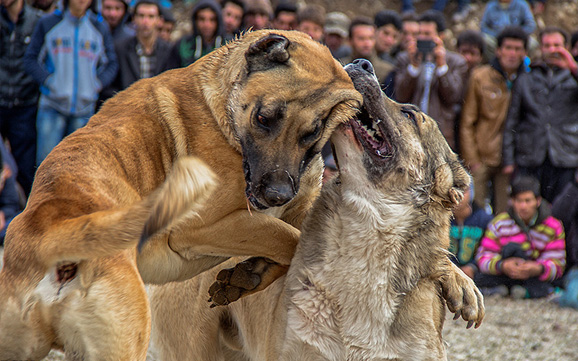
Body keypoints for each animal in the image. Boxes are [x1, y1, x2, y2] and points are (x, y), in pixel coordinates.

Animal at [0, 31, 360, 360]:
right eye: (263, 118)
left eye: (311, 134)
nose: (277, 194)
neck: (221, 109)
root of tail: (52, 232)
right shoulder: (204, 227)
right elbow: (292, 239)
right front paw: (251, 272)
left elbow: (291, 238)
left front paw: (247, 276)